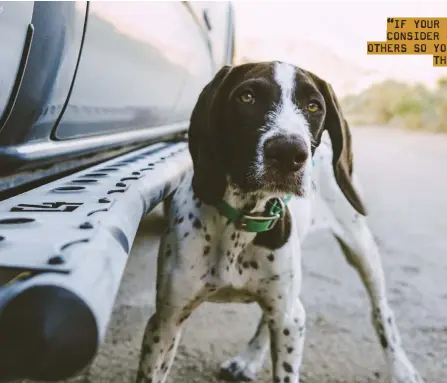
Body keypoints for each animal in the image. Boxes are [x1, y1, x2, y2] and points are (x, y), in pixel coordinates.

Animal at [135, 62, 426, 383]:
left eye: (313, 106)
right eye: (246, 97)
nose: (289, 153)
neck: (242, 221)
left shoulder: (291, 319)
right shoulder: (165, 321)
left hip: (361, 250)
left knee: (381, 312)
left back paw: (402, 369)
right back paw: (249, 359)